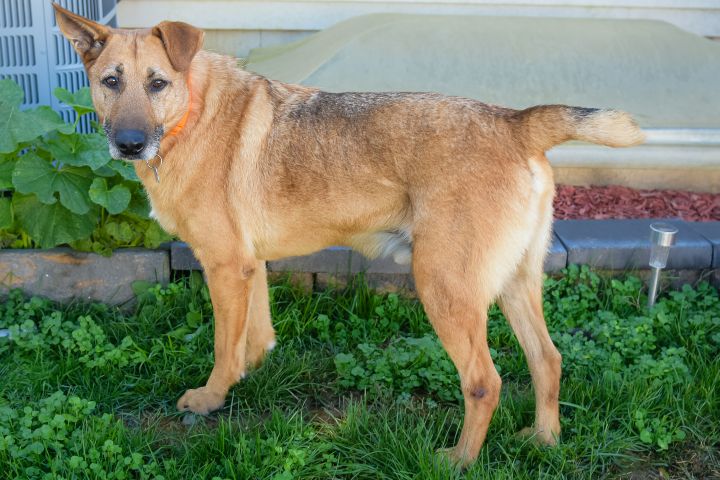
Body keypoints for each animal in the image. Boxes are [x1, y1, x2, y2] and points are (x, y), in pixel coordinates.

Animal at [53, 3, 644, 466]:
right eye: (110, 82)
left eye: (158, 83)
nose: (129, 144)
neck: (190, 110)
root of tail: (515, 121)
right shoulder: (249, 266)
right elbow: (255, 339)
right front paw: (250, 377)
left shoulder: (223, 266)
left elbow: (224, 348)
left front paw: (211, 399)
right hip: (517, 283)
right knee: (548, 360)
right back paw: (544, 439)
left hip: (444, 287)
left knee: (485, 382)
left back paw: (458, 459)